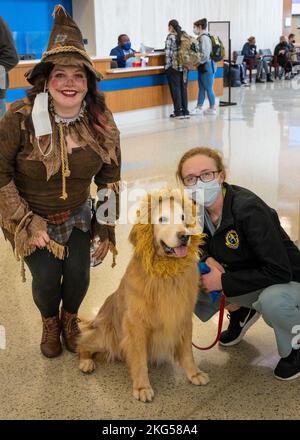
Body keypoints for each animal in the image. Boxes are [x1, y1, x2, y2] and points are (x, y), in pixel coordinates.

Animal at [77, 187, 209, 400]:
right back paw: (86, 361)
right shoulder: (136, 325)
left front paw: (194, 373)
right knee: (83, 341)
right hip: (107, 335)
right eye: (162, 219)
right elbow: (139, 359)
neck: (166, 275)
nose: (184, 236)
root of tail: (96, 319)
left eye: (183, 217)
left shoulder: (183, 317)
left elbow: (187, 350)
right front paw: (142, 386)